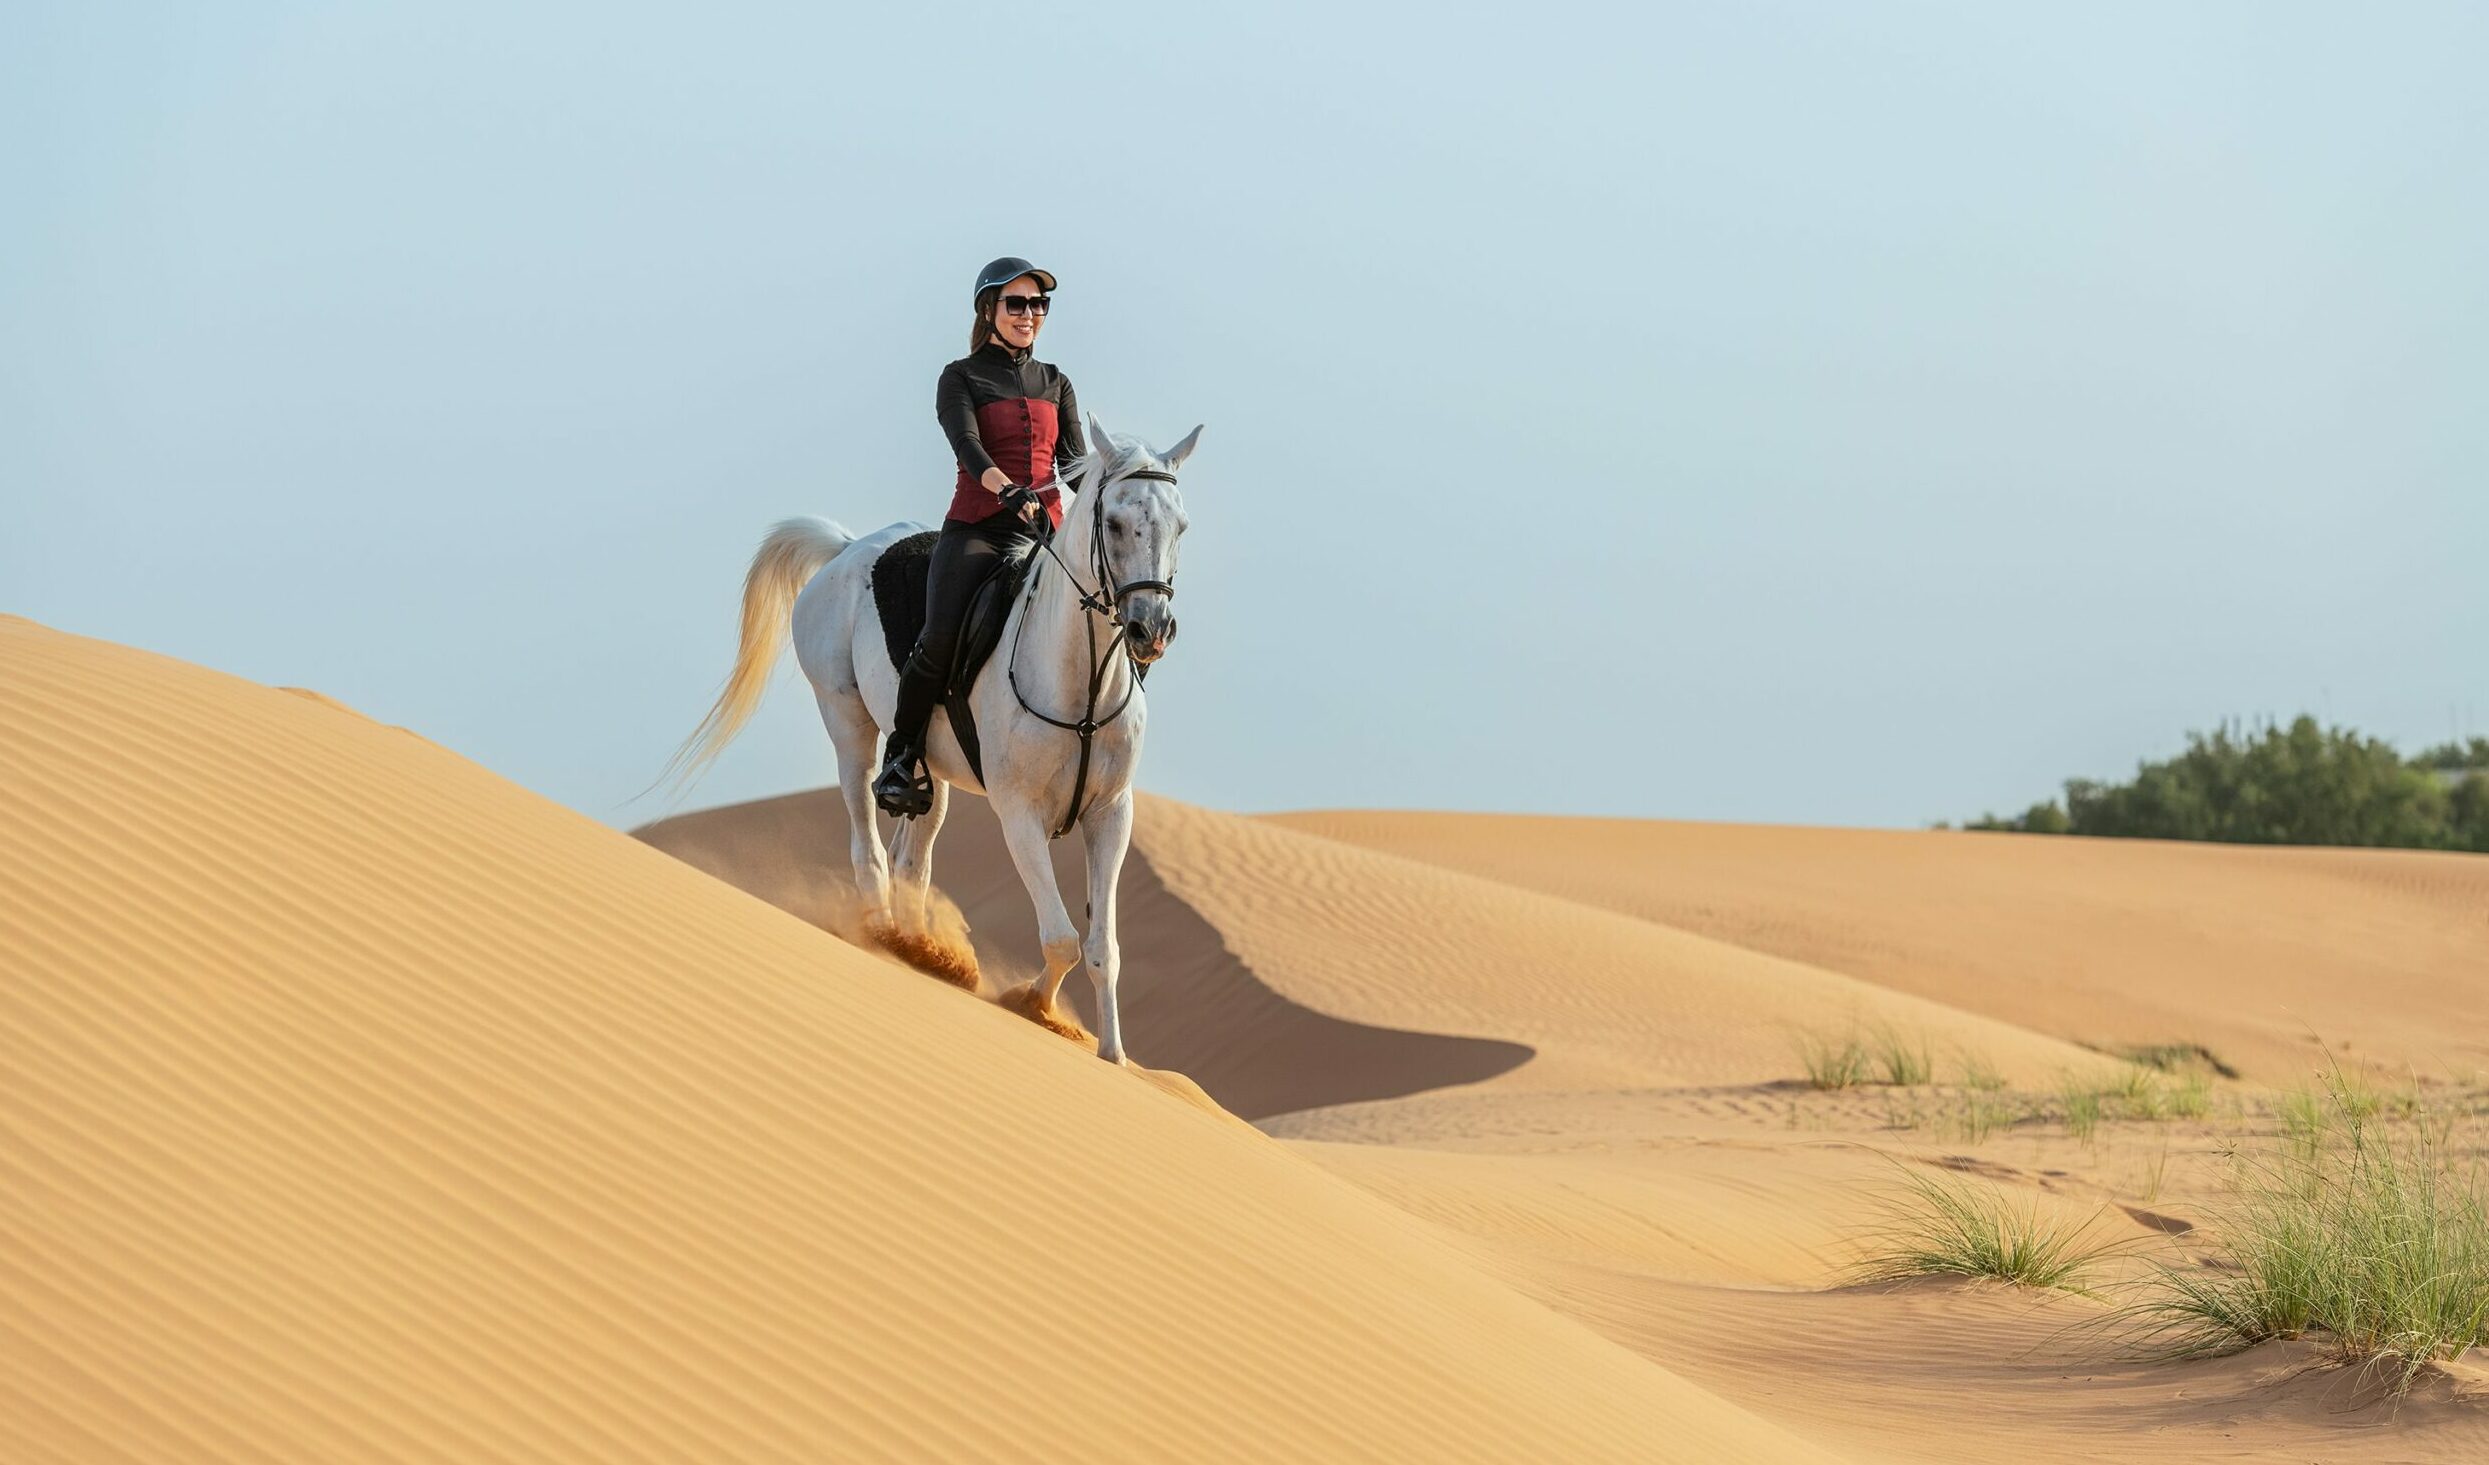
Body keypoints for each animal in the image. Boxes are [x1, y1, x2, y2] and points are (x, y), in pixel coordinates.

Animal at [672, 410, 1194, 1064]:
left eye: (1180, 525)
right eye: (1117, 523)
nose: (1153, 629)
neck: (1082, 683)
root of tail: (847, 549)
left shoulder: (1111, 815)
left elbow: (1103, 949)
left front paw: (1112, 1055)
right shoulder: (1018, 814)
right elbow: (1061, 938)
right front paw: (1032, 1004)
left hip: (932, 771)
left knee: (911, 863)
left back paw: (925, 951)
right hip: (848, 724)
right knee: (868, 844)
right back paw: (882, 933)